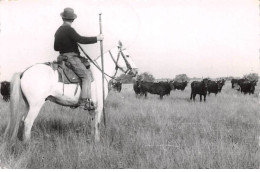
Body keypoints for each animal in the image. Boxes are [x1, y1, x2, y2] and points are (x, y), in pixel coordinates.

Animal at [4, 43, 138, 142]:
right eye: (127, 55)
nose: (136, 71)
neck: (99, 73)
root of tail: (24, 71)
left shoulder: (92, 108)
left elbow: (92, 124)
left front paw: (92, 140)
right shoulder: (99, 107)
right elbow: (97, 124)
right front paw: (97, 141)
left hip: (29, 104)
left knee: (22, 120)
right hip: (36, 105)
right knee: (28, 122)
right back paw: (28, 144)